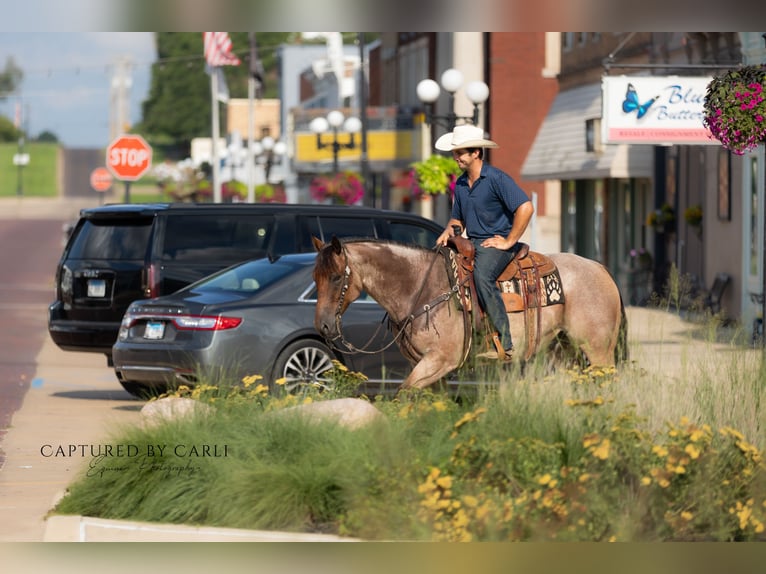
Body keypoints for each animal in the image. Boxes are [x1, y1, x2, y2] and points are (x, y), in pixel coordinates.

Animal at [312, 236, 627, 391]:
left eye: (337, 278)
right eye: (316, 277)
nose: (323, 326)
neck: (420, 286)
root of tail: (600, 268)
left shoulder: (440, 360)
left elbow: (404, 394)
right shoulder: (427, 367)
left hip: (598, 351)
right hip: (563, 351)